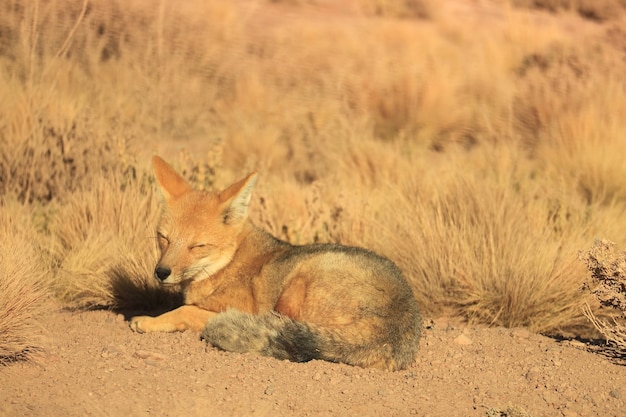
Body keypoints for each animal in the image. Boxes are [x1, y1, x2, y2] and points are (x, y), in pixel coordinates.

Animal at [128, 156, 420, 370]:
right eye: (164, 238)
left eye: (198, 246)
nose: (161, 272)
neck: (228, 263)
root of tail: (399, 318)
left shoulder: (236, 307)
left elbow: (184, 311)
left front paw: (148, 321)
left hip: (300, 279)